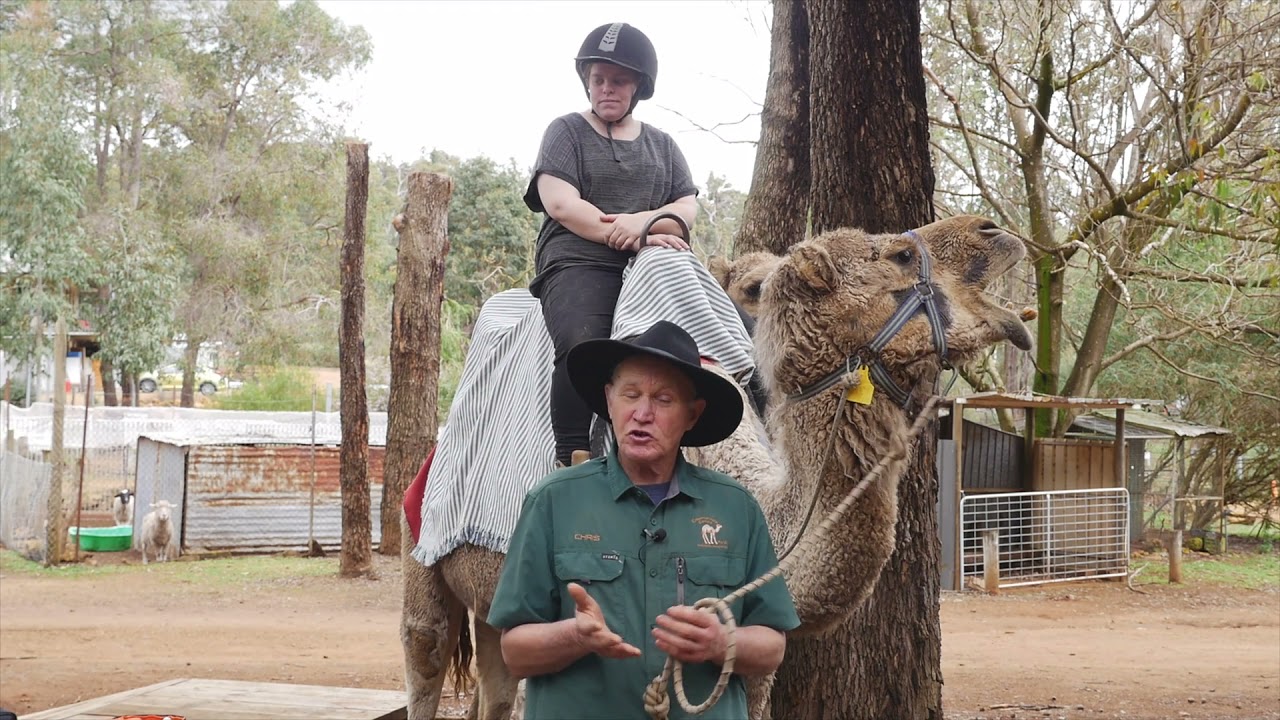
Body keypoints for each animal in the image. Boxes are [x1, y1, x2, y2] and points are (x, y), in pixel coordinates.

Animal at [401, 214, 1032, 720]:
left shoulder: (754, 650)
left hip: (491, 603)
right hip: (423, 552)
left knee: (494, 686)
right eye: (898, 254)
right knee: (425, 655)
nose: (993, 230)